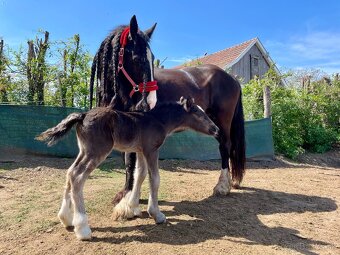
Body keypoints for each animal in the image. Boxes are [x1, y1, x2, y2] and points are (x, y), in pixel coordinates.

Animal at [89, 15, 244, 219]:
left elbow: (132, 164)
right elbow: (130, 164)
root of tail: (232, 78)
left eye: (152, 58)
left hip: (222, 121)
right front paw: (129, 197)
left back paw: (222, 186)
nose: (151, 101)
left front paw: (128, 203)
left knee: (225, 145)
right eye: (137, 59)